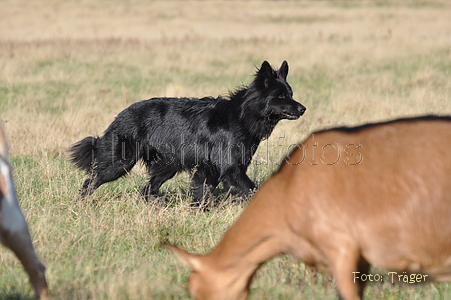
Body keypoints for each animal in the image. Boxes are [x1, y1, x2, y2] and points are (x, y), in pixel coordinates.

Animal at [69, 61, 308, 206]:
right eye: (280, 96)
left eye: (290, 94)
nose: (303, 108)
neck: (242, 116)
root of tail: (120, 115)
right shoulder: (230, 167)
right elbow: (251, 189)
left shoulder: (210, 169)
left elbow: (202, 192)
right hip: (120, 162)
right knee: (91, 181)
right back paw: (81, 203)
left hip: (168, 165)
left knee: (147, 188)